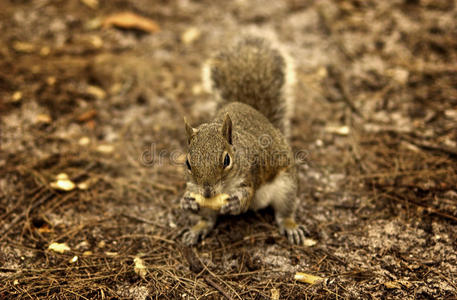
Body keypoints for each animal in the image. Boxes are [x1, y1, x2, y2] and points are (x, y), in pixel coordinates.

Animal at [179, 35, 306, 245]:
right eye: (188, 163)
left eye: (226, 160)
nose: (207, 193)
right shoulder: (193, 184)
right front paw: (186, 202)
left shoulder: (250, 174)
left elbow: (247, 195)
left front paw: (236, 203)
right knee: (208, 219)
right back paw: (198, 228)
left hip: (286, 185)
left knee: (285, 211)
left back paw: (290, 225)